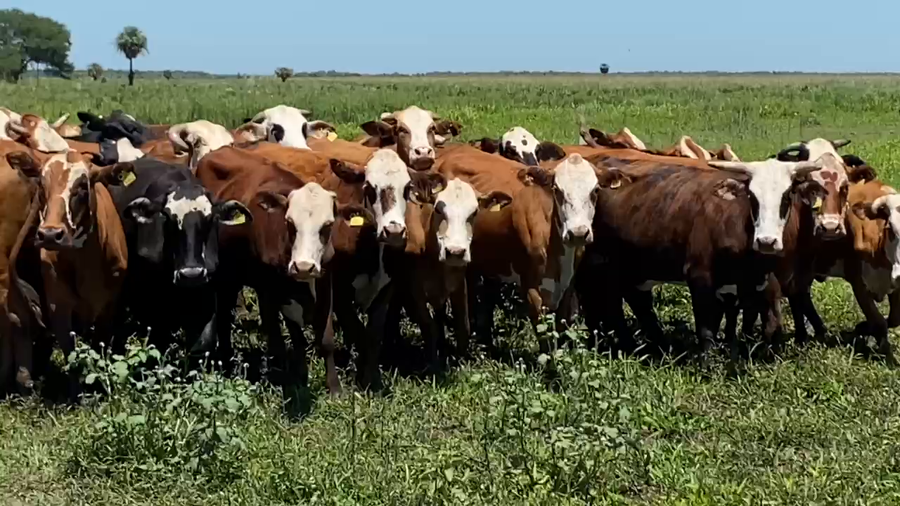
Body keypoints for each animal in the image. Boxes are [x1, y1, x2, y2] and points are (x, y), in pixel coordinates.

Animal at [5, 150, 134, 399]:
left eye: (83, 186)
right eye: (41, 184)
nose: (50, 234)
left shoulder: (109, 305)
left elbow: (99, 344)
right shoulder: (59, 305)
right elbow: (71, 352)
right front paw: (78, 394)